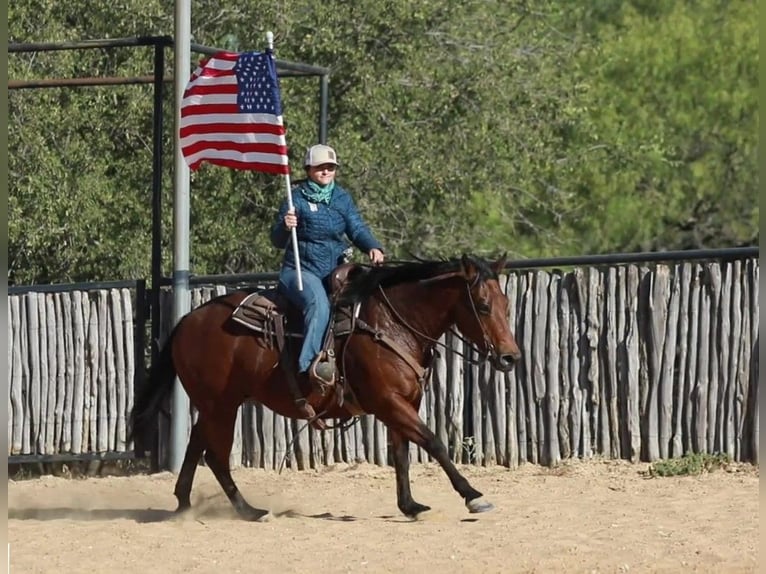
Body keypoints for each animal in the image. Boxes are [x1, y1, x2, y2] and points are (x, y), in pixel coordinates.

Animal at [130, 255, 520, 520]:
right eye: (483, 305)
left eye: (506, 303)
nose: (510, 356)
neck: (392, 325)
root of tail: (187, 320)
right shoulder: (389, 402)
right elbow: (433, 442)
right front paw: (472, 495)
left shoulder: (403, 403)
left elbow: (402, 453)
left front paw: (410, 505)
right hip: (222, 405)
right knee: (215, 456)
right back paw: (249, 510)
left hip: (215, 405)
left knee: (196, 446)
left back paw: (184, 504)